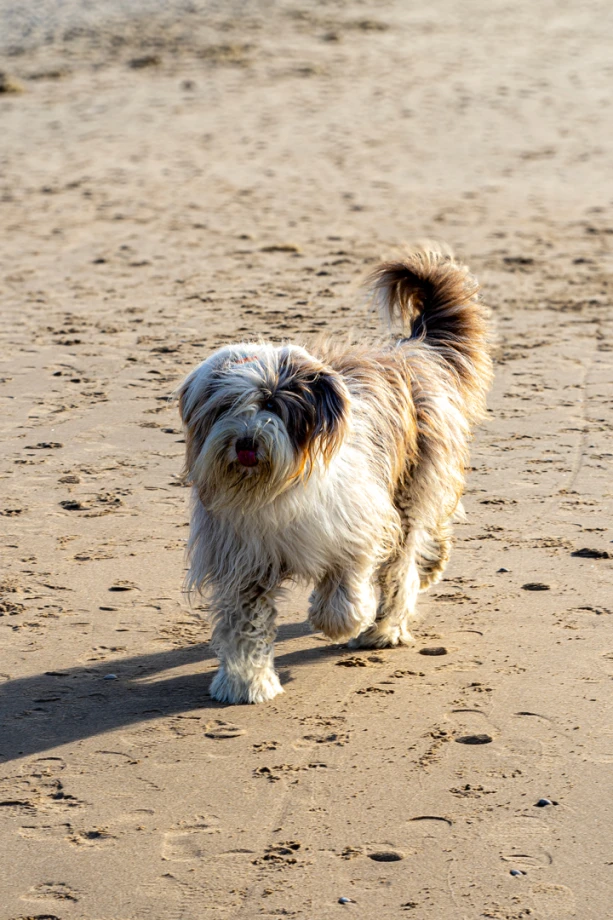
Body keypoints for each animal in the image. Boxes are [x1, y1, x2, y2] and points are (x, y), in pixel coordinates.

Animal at [177, 248, 492, 700]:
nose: (246, 442)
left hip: (411, 487)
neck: (277, 488)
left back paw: (383, 629)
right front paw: (246, 682)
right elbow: (245, 624)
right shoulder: (244, 558)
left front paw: (340, 621)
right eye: (224, 407)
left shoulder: (359, 521)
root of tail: (411, 348)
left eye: (271, 403)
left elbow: (347, 579)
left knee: (402, 566)